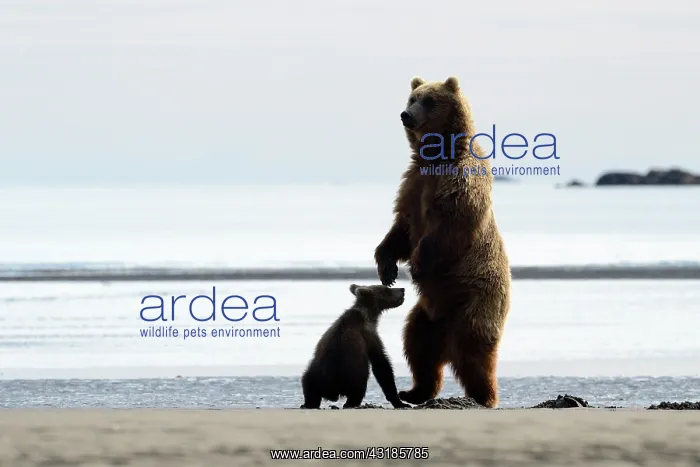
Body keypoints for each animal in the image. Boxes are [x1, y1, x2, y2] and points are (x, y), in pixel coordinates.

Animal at [373, 76, 511, 408]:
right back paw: (413, 391)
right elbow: (401, 229)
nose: (406, 115)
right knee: (418, 346)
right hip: (426, 315)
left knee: (474, 351)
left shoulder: (460, 182)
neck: (438, 156)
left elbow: (448, 227)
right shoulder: (414, 183)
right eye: (412, 98)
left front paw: (416, 266)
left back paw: (484, 396)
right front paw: (387, 268)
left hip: (475, 299)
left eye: (429, 100)